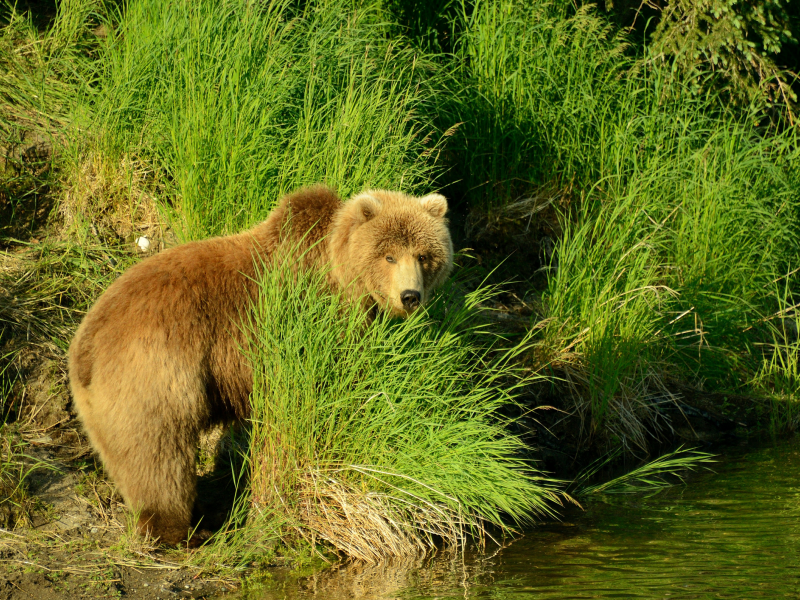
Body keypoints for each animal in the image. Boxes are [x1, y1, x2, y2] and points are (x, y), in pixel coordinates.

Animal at [65, 185, 454, 548]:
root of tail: (85, 343)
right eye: (388, 255)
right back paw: (180, 529)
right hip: (156, 371)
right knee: (158, 452)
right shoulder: (308, 321)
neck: (338, 269)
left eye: (424, 255)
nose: (410, 296)